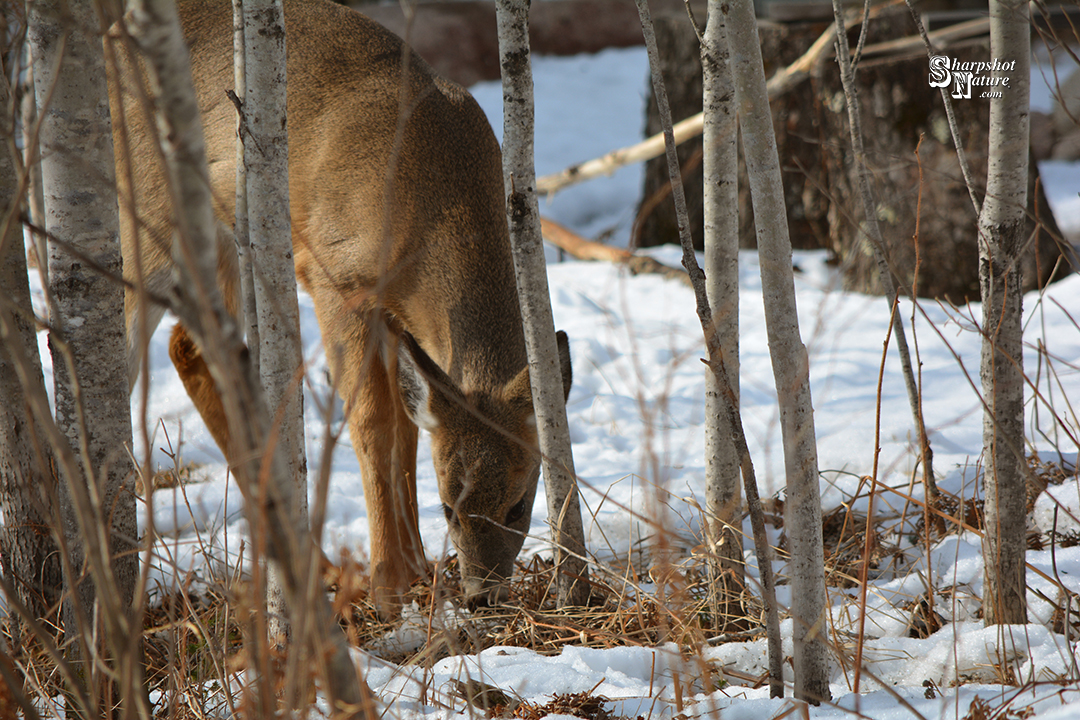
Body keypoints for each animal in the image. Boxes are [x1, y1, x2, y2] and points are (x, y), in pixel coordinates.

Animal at [111, 0, 572, 612]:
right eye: (449, 507)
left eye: (518, 504)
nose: (481, 593)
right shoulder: (338, 280)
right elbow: (372, 421)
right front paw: (389, 581)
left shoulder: (397, 316)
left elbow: (407, 426)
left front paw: (419, 569)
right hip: (148, 219)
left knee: (192, 348)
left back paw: (313, 563)